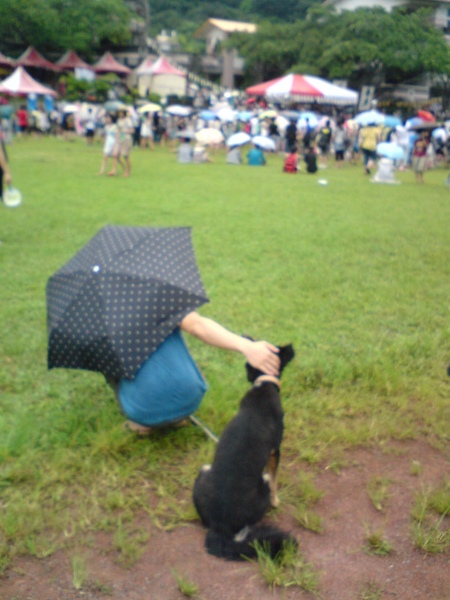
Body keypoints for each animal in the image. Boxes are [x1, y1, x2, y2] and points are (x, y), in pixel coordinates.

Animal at [192, 344, 296, 560]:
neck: (264, 383)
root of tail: (219, 527)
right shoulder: (275, 451)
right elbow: (275, 479)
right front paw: (276, 501)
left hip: (204, 470)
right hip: (262, 484)